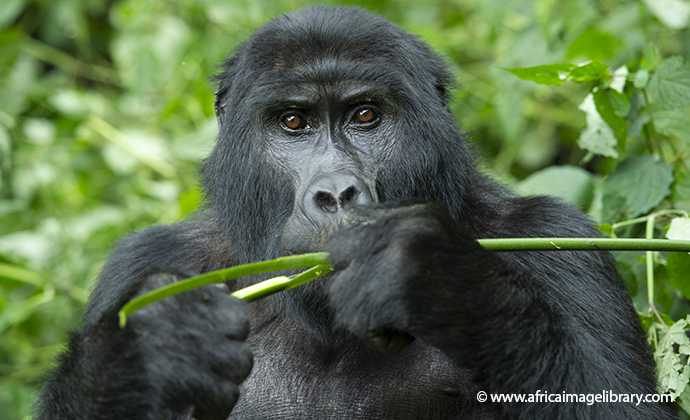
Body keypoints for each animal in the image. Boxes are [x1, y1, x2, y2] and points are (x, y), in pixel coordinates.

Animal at [35, 5, 676, 420]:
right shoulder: (146, 263)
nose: (337, 194)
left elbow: (614, 402)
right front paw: (144, 354)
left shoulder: (553, 239)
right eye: (293, 121)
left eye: (365, 115)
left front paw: (433, 276)